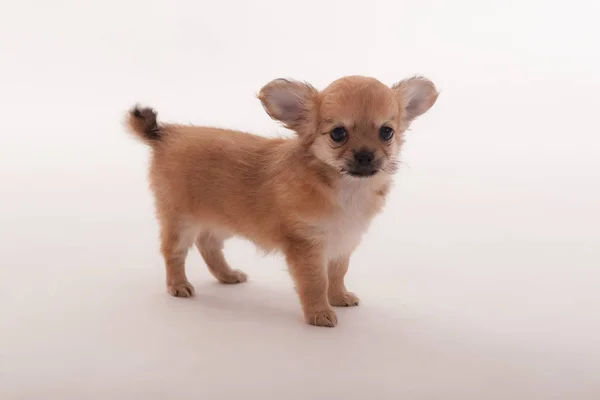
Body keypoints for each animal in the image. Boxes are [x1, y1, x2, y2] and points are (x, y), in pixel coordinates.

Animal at [125, 76, 436, 328]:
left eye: (386, 132)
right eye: (338, 133)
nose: (365, 155)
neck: (346, 188)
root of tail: (165, 134)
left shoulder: (343, 242)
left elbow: (337, 274)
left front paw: (339, 297)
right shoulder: (306, 247)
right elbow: (315, 282)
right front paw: (319, 313)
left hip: (223, 218)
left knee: (208, 244)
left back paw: (227, 275)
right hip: (181, 221)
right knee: (174, 252)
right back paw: (178, 285)